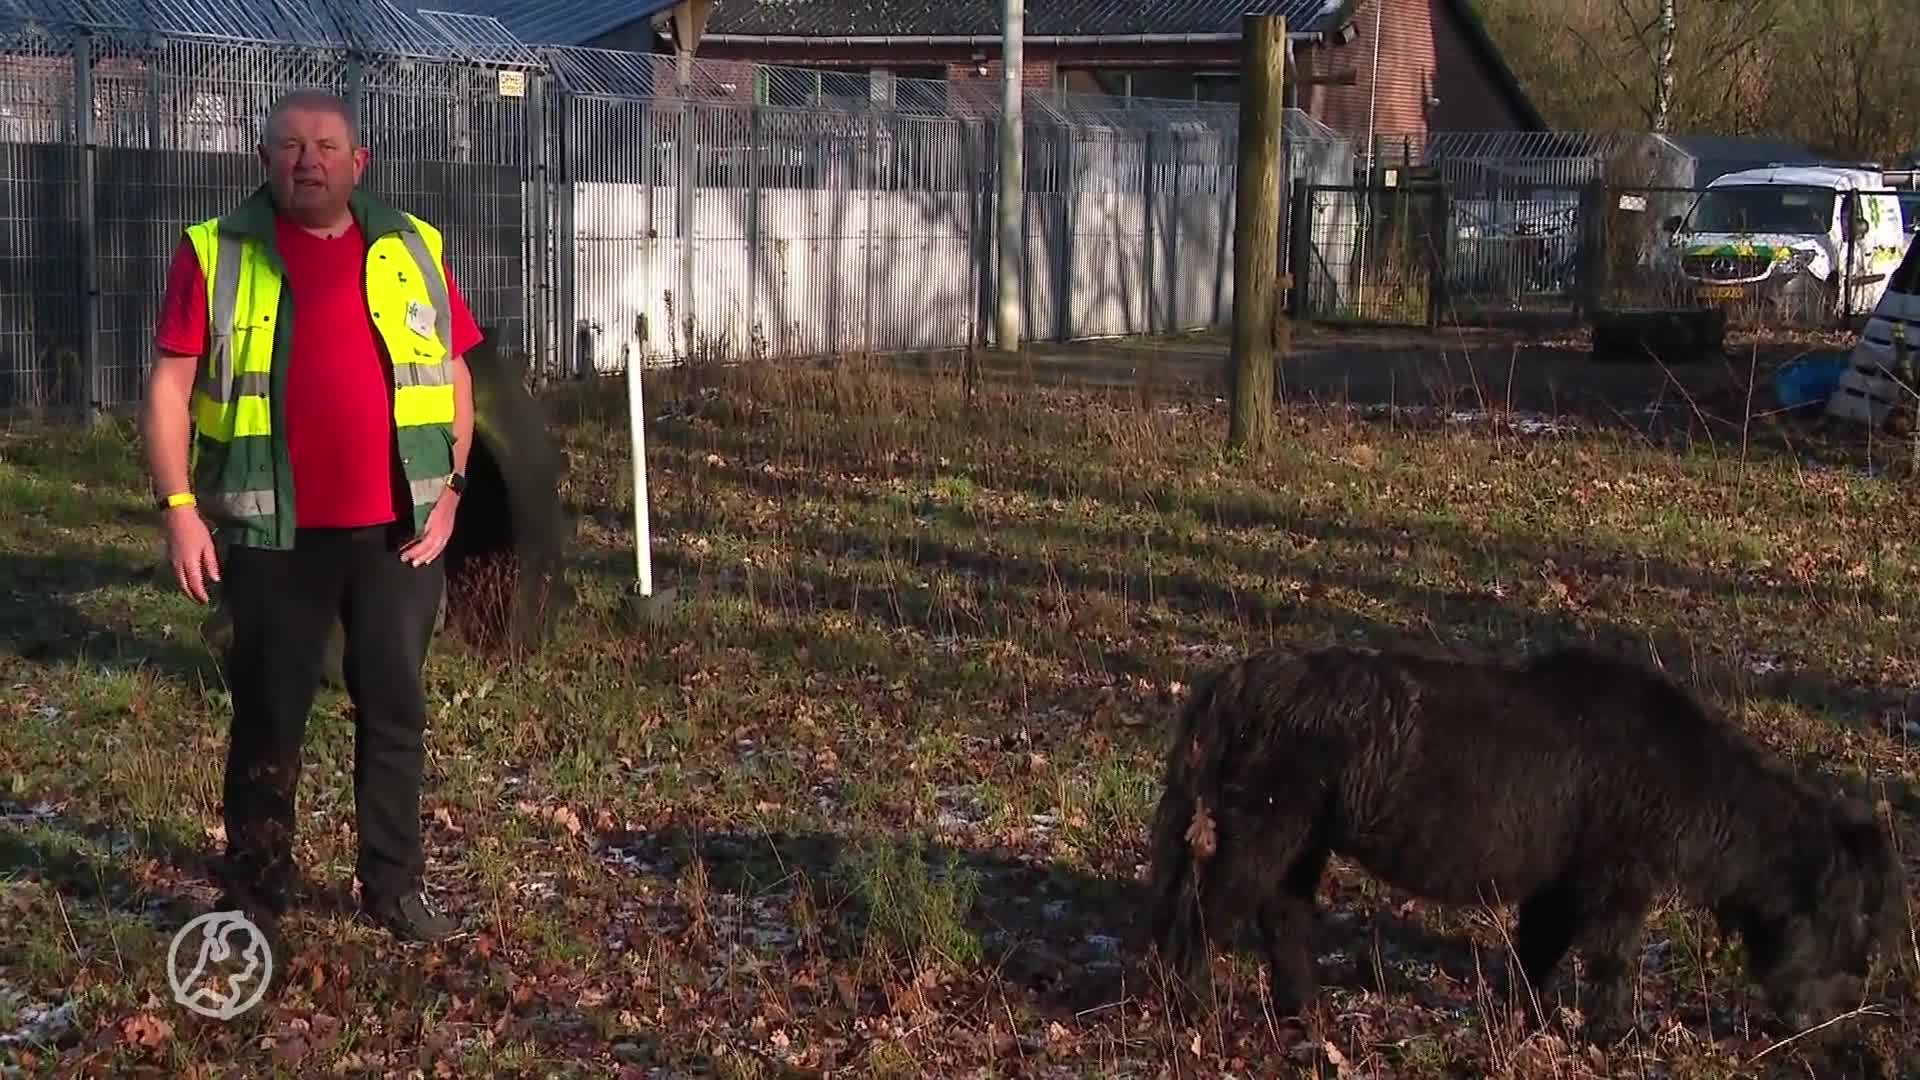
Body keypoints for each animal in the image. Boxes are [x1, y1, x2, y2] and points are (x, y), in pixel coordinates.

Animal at [1144, 638, 1912, 1037]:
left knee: (1283, 918)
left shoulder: (1557, 887)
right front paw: (1613, 1035)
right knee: (1204, 920)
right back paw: (1196, 1012)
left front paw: (1524, 1021)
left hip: (1303, 841)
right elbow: (1610, 961)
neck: (1687, 782)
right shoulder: (1617, 884)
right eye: (1853, 925)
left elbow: (1536, 956)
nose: (1837, 1024)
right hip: (1260, 833)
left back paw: (1303, 1014)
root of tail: (1234, 682)